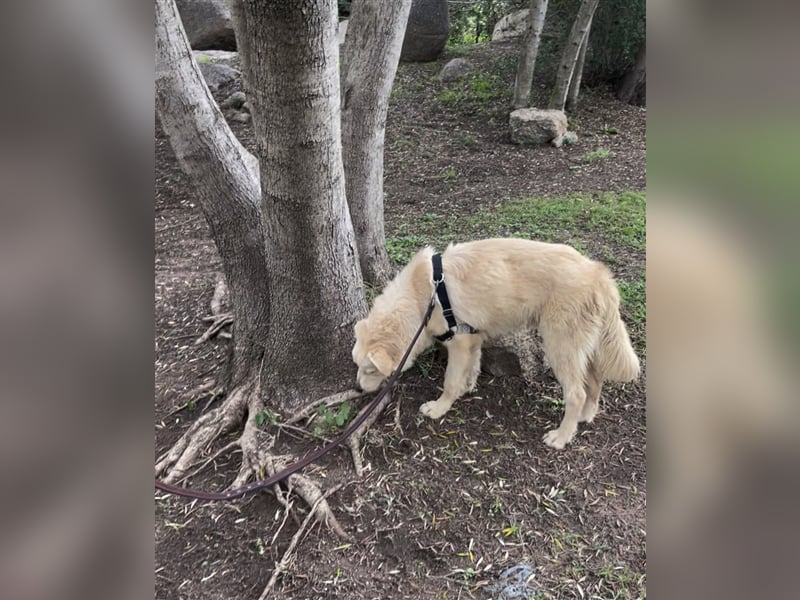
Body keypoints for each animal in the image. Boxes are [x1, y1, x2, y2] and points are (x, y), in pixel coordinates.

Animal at [350, 239, 636, 450]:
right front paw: (466, 388)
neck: (424, 295)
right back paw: (585, 417)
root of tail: (598, 274)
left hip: (559, 347)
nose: (358, 389)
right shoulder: (473, 338)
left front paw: (440, 407)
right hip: (581, 347)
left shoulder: (459, 343)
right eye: (358, 366)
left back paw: (562, 436)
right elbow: (472, 369)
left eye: (370, 369)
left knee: (577, 393)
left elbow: (450, 381)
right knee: (595, 381)